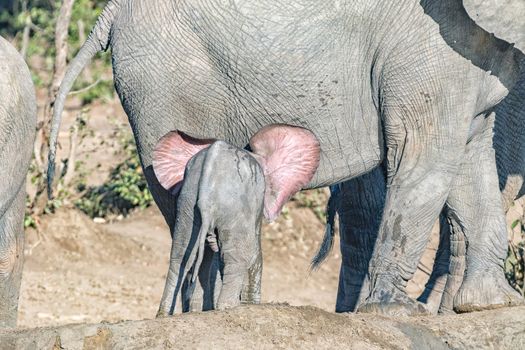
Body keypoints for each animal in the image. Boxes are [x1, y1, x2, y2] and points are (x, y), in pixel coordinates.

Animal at [48, 0, 524, 318]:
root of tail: (111, 11)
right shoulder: (427, 49)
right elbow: (424, 162)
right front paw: (393, 312)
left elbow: (472, 164)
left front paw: (492, 304)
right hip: (166, 83)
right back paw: (205, 314)